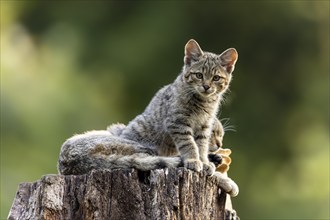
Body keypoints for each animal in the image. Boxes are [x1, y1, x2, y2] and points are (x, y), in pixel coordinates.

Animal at [56, 39, 237, 196]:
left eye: (216, 78)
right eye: (199, 75)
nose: (219, 144)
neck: (204, 103)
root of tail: (68, 162)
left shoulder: (202, 126)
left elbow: (201, 147)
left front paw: (206, 161)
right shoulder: (178, 123)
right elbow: (190, 147)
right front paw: (202, 163)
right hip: (141, 149)